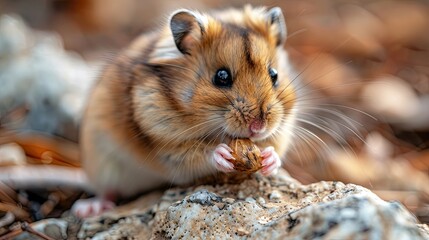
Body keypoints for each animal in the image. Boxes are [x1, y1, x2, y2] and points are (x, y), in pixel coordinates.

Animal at [71, 5, 298, 218]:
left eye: (274, 74)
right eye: (221, 76)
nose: (259, 127)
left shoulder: (282, 130)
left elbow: (274, 147)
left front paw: (269, 159)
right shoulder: (166, 145)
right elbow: (197, 154)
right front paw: (222, 152)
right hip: (100, 163)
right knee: (106, 191)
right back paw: (88, 209)